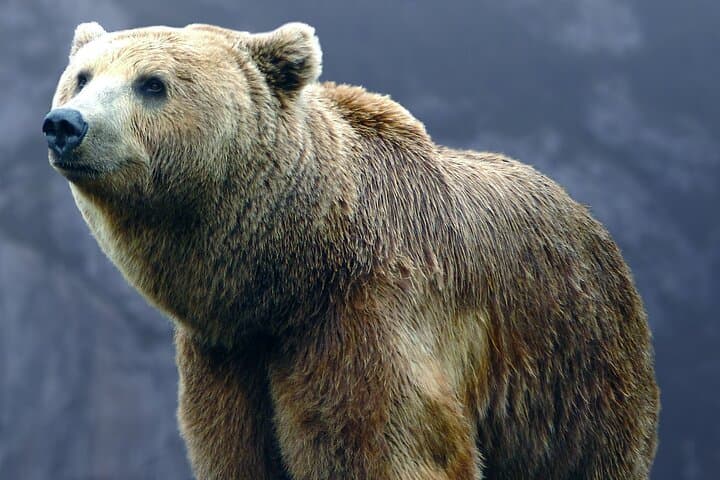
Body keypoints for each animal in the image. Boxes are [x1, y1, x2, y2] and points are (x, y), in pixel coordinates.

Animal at [43, 21, 659, 479]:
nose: (65, 124)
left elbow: (388, 443)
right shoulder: (227, 356)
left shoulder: (368, 319)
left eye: (152, 83)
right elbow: (236, 448)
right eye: (82, 76)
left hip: (570, 366)